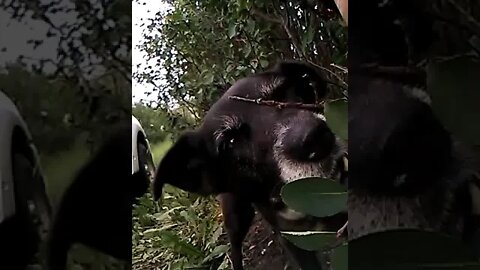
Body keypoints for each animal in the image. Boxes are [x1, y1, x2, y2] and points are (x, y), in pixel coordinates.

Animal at [152, 61, 346, 270]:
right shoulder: (292, 239)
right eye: (230, 142)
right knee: (235, 249)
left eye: (283, 93)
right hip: (235, 217)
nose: (315, 138)